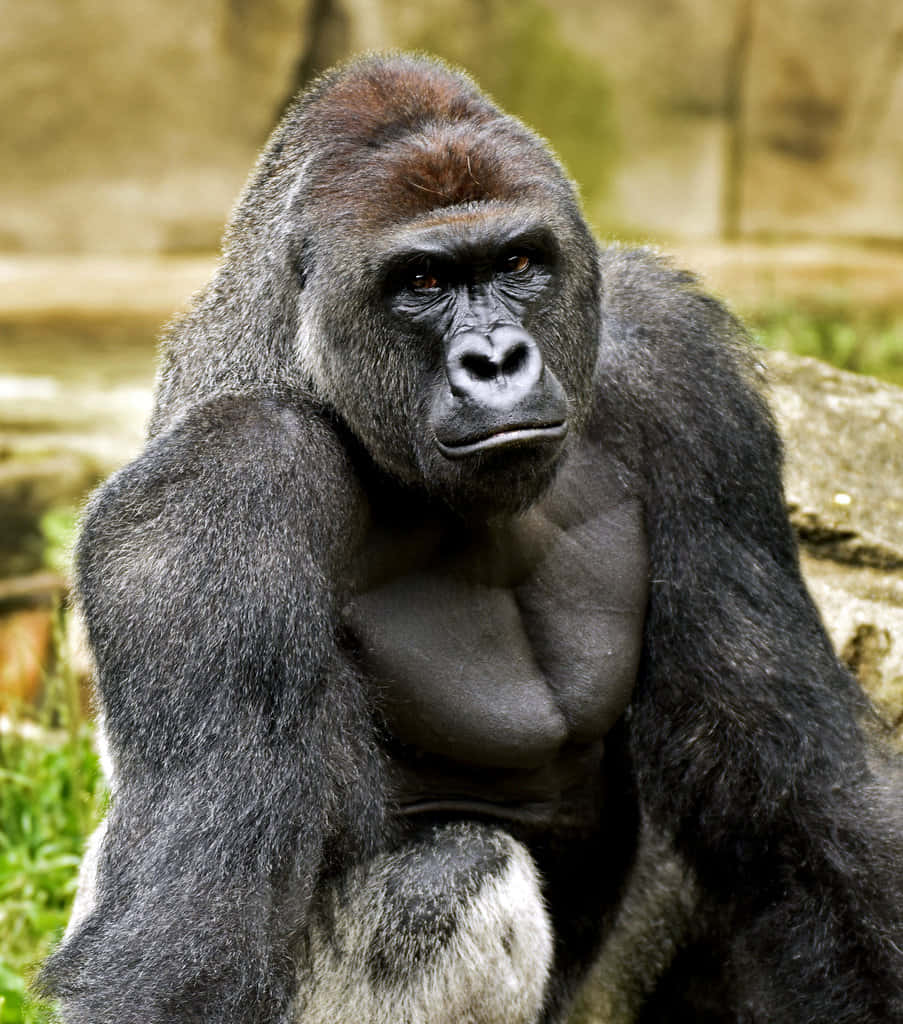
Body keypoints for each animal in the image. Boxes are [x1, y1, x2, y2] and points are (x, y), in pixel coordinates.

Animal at [41, 54, 903, 1024]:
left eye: (517, 261)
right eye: (421, 282)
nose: (495, 361)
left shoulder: (680, 369)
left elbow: (800, 793)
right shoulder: (219, 488)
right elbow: (194, 931)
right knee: (449, 874)